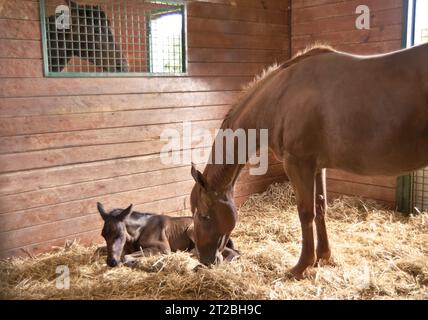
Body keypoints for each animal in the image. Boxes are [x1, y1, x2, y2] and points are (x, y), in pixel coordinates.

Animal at [95, 202, 241, 268]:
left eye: (119, 234)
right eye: (103, 235)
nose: (111, 262)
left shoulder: (164, 248)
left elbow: (125, 257)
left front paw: (135, 262)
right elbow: (100, 249)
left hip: (192, 231)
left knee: (225, 255)